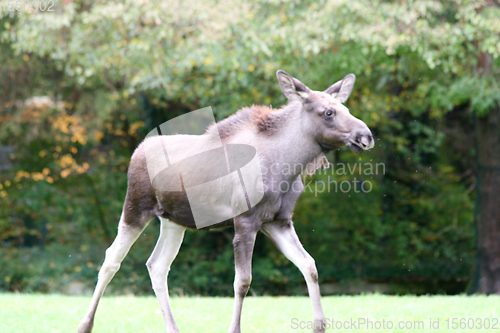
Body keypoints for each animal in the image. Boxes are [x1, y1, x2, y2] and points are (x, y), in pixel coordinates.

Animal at [77, 68, 376, 330]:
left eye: (346, 109)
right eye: (328, 112)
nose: (366, 136)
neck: (288, 165)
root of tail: (137, 150)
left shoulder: (278, 221)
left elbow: (309, 265)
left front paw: (320, 326)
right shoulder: (245, 221)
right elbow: (242, 281)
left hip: (173, 221)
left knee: (157, 265)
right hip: (135, 208)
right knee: (111, 259)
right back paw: (84, 324)